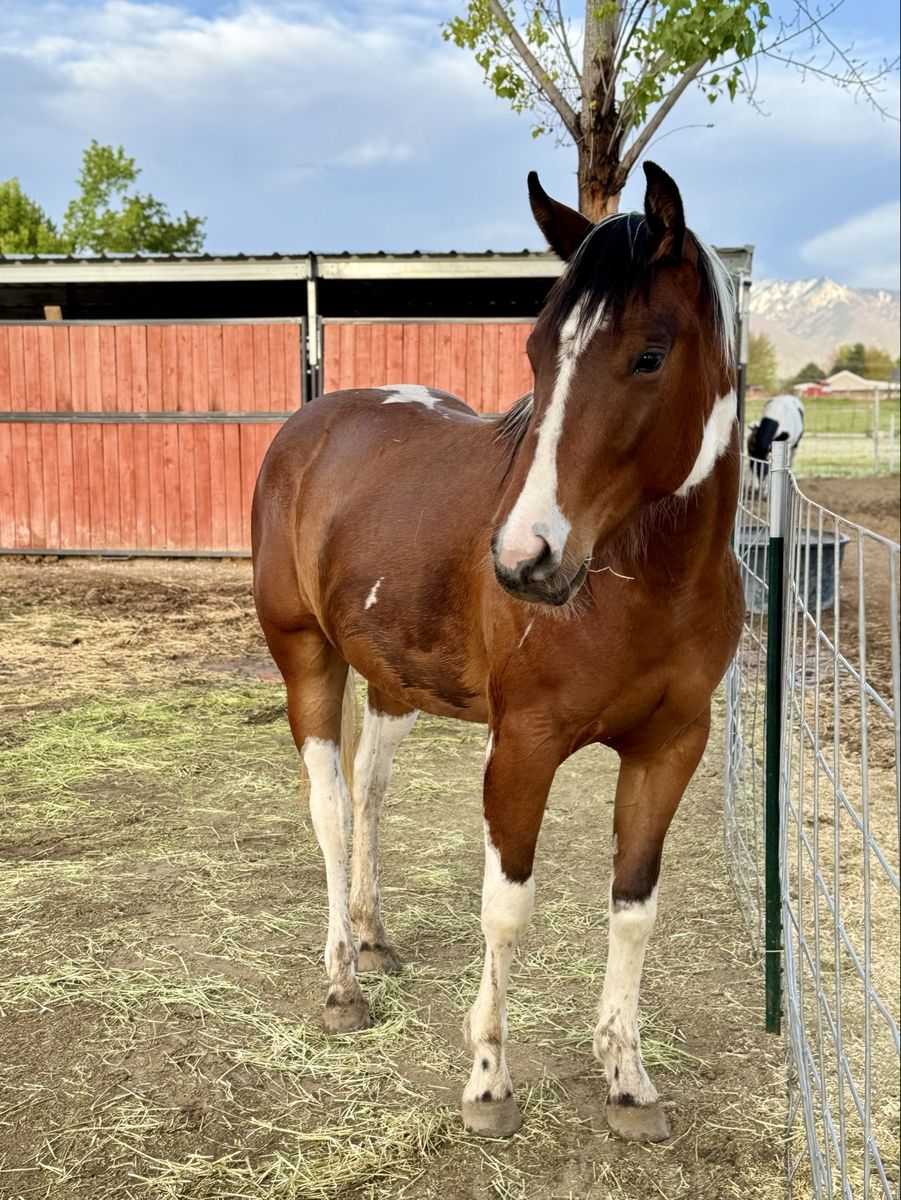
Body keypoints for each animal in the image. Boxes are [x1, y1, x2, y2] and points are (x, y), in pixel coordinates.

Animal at [251, 162, 744, 1144]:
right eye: (537, 354)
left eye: (649, 355)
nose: (524, 561)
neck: (646, 582)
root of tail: (312, 422)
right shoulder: (521, 747)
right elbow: (506, 910)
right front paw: (487, 1082)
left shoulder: (671, 747)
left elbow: (634, 909)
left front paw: (627, 1078)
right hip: (305, 658)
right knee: (330, 807)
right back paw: (342, 983)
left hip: (393, 680)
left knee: (370, 793)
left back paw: (372, 936)